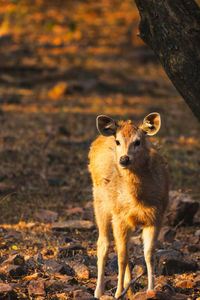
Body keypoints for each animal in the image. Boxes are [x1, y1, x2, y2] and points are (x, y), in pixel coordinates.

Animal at [88, 112, 168, 298]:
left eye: (138, 141)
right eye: (118, 141)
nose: (124, 159)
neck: (139, 200)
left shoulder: (156, 216)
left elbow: (149, 253)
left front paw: (151, 289)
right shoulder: (120, 216)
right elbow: (122, 257)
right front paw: (118, 294)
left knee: (124, 247)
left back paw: (129, 290)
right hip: (100, 203)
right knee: (104, 244)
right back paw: (99, 291)